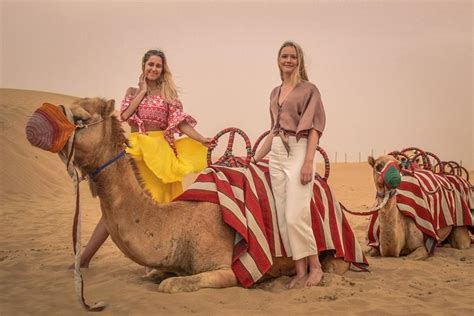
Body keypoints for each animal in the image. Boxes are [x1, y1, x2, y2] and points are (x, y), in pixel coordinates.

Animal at [36, 97, 348, 292]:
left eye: (79, 118)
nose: (40, 118)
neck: (179, 224)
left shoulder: (229, 269)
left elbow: (170, 285)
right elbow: (155, 275)